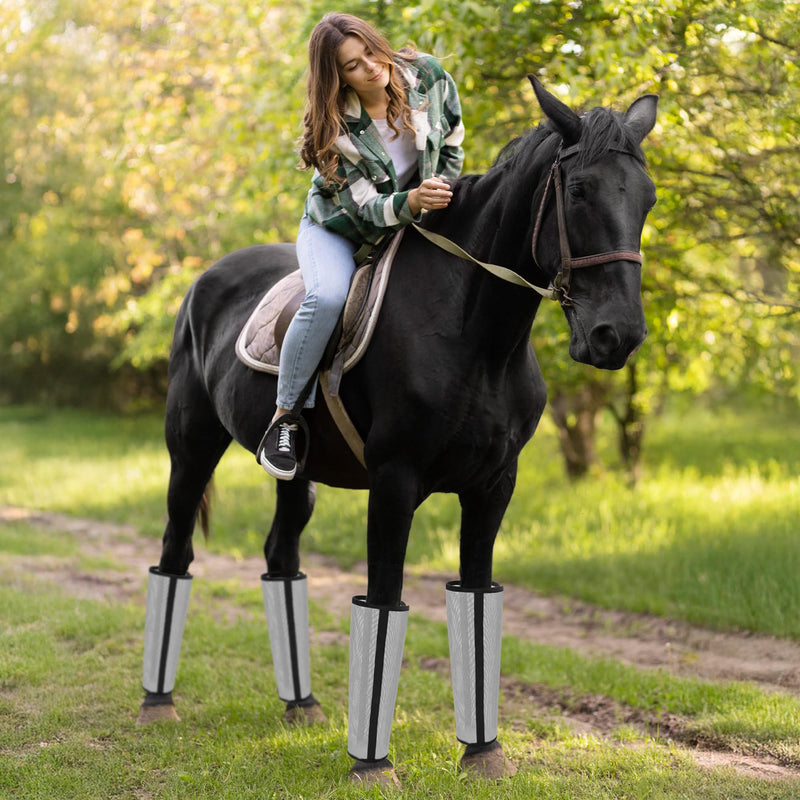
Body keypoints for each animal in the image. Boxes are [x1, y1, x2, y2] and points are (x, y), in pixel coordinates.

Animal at [138, 77, 658, 787]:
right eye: (578, 191)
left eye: (647, 197)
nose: (617, 336)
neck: (476, 337)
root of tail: (206, 280)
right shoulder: (393, 482)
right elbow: (383, 606)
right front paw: (372, 764)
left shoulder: (493, 489)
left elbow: (476, 599)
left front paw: (483, 753)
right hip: (190, 450)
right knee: (175, 554)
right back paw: (157, 703)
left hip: (298, 478)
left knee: (281, 561)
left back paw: (300, 704)